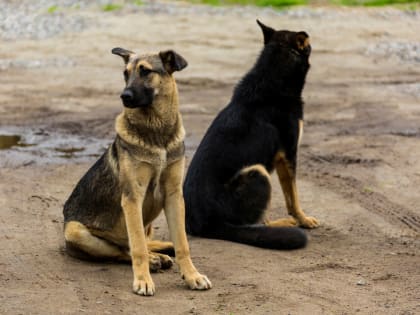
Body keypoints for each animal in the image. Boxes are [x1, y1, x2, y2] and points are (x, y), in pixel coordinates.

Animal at [62, 47, 210, 296]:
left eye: (146, 72)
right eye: (125, 73)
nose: (124, 96)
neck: (157, 133)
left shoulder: (174, 196)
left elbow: (183, 244)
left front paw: (192, 275)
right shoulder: (133, 198)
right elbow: (137, 247)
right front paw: (143, 280)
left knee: (144, 242)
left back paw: (162, 251)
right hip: (75, 230)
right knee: (123, 250)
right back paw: (153, 259)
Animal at [184, 21, 318, 251]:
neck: (272, 76)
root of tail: (206, 225)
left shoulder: (282, 160)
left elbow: (289, 195)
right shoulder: (289, 154)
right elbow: (293, 196)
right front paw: (303, 219)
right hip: (257, 173)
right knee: (252, 224)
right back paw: (278, 225)